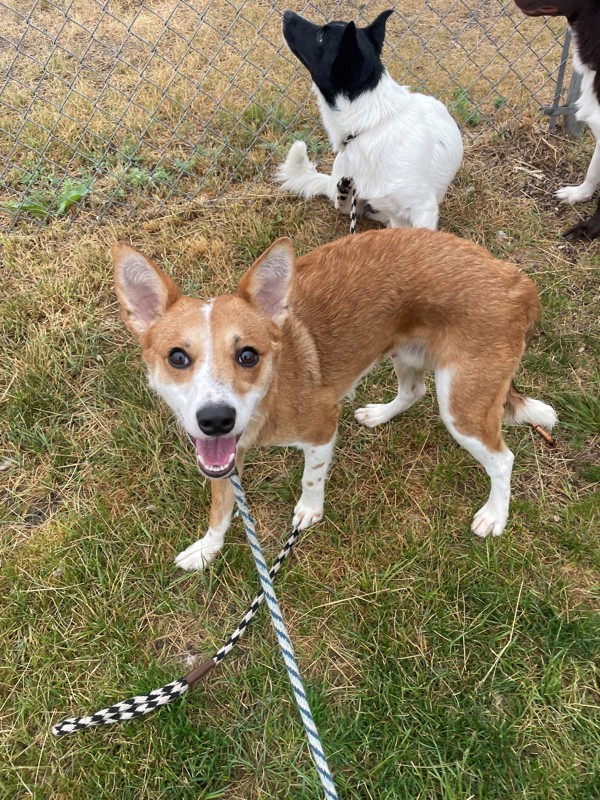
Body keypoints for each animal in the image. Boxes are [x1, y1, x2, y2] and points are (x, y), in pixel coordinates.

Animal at [113, 228, 556, 572]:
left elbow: (311, 477)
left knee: (502, 459)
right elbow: (220, 507)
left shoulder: (323, 427)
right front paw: (208, 548)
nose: (217, 419)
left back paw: (495, 515)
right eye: (177, 357)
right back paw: (380, 415)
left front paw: (309, 511)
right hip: (406, 352)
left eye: (248, 355)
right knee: (413, 391)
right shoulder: (223, 458)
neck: (271, 394)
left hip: (462, 407)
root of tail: (515, 281)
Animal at [276, 10, 464, 228]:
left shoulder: (423, 210)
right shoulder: (396, 214)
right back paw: (344, 192)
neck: (370, 125)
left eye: (321, 36)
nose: (287, 13)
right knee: (346, 206)